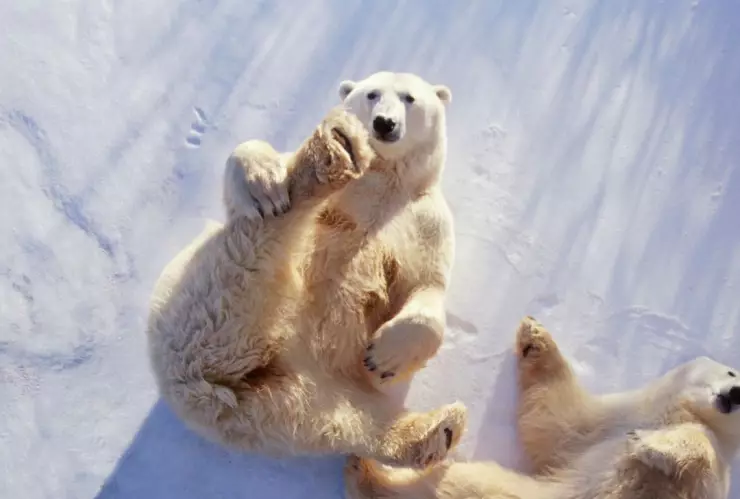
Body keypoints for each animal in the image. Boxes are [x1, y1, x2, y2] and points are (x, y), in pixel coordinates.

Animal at [146, 72, 467, 468]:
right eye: (372, 94)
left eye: (410, 98)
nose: (383, 123)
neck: (384, 179)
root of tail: (201, 396)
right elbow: (248, 173)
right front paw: (262, 181)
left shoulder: (425, 219)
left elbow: (427, 285)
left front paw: (384, 357)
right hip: (202, 299)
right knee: (254, 246)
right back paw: (335, 150)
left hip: (304, 397)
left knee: (353, 421)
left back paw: (438, 430)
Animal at [345, 316, 740, 498]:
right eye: (733, 371)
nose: (735, 392)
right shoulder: (612, 422)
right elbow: (559, 423)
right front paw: (534, 337)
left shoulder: (710, 476)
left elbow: (700, 452)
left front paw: (649, 445)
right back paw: (365, 469)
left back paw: (367, 472)